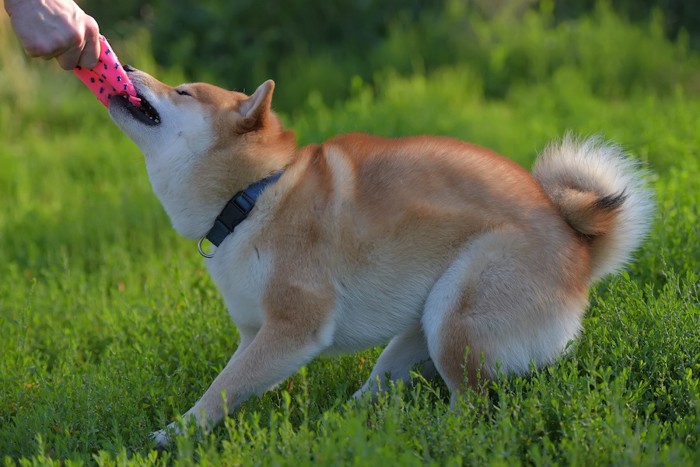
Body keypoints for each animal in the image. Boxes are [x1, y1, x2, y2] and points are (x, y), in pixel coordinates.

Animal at [106, 66, 652, 446]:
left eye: (183, 92)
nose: (127, 66)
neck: (254, 196)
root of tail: (579, 247)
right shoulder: (253, 333)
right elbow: (230, 381)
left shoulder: (293, 327)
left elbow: (222, 388)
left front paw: (173, 435)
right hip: (419, 330)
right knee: (377, 389)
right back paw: (338, 425)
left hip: (456, 316)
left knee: (473, 407)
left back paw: (434, 436)